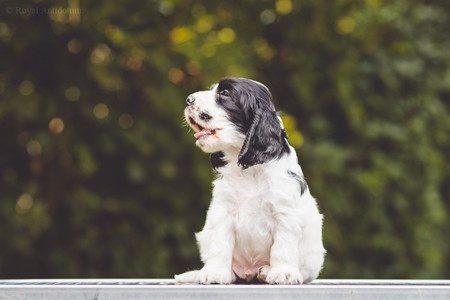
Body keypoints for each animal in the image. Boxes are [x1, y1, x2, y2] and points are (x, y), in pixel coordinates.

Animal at [174, 77, 326, 284]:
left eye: (225, 94)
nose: (188, 99)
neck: (250, 170)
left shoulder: (284, 212)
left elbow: (283, 246)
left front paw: (283, 273)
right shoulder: (222, 210)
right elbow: (220, 243)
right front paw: (214, 272)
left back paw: (266, 271)